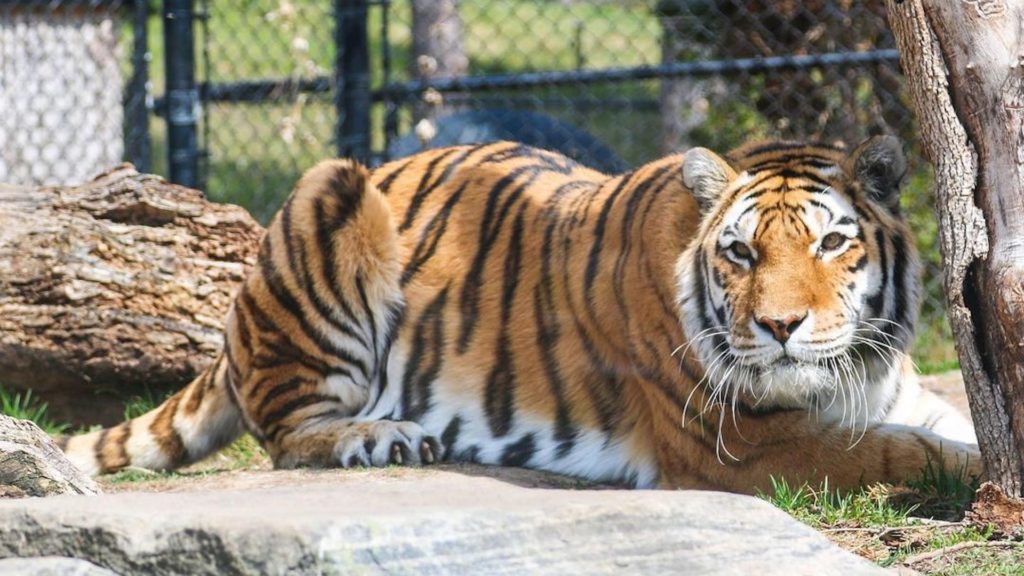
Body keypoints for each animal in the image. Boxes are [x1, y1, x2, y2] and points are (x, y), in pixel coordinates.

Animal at [61, 136, 982, 494]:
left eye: (832, 242)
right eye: (741, 254)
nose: (781, 329)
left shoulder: (893, 394)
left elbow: (948, 425)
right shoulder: (744, 446)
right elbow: (905, 455)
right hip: (329, 194)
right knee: (286, 434)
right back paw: (381, 437)